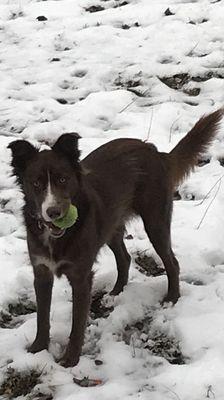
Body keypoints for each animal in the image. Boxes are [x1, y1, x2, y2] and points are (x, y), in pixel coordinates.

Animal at [8, 108, 222, 366]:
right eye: (36, 183)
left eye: (62, 179)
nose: (54, 212)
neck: (57, 236)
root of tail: (154, 151)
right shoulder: (41, 273)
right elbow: (42, 317)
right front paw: (38, 349)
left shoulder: (81, 277)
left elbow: (77, 324)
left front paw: (71, 359)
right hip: (111, 227)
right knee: (125, 258)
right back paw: (115, 293)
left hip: (155, 222)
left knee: (172, 262)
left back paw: (172, 298)